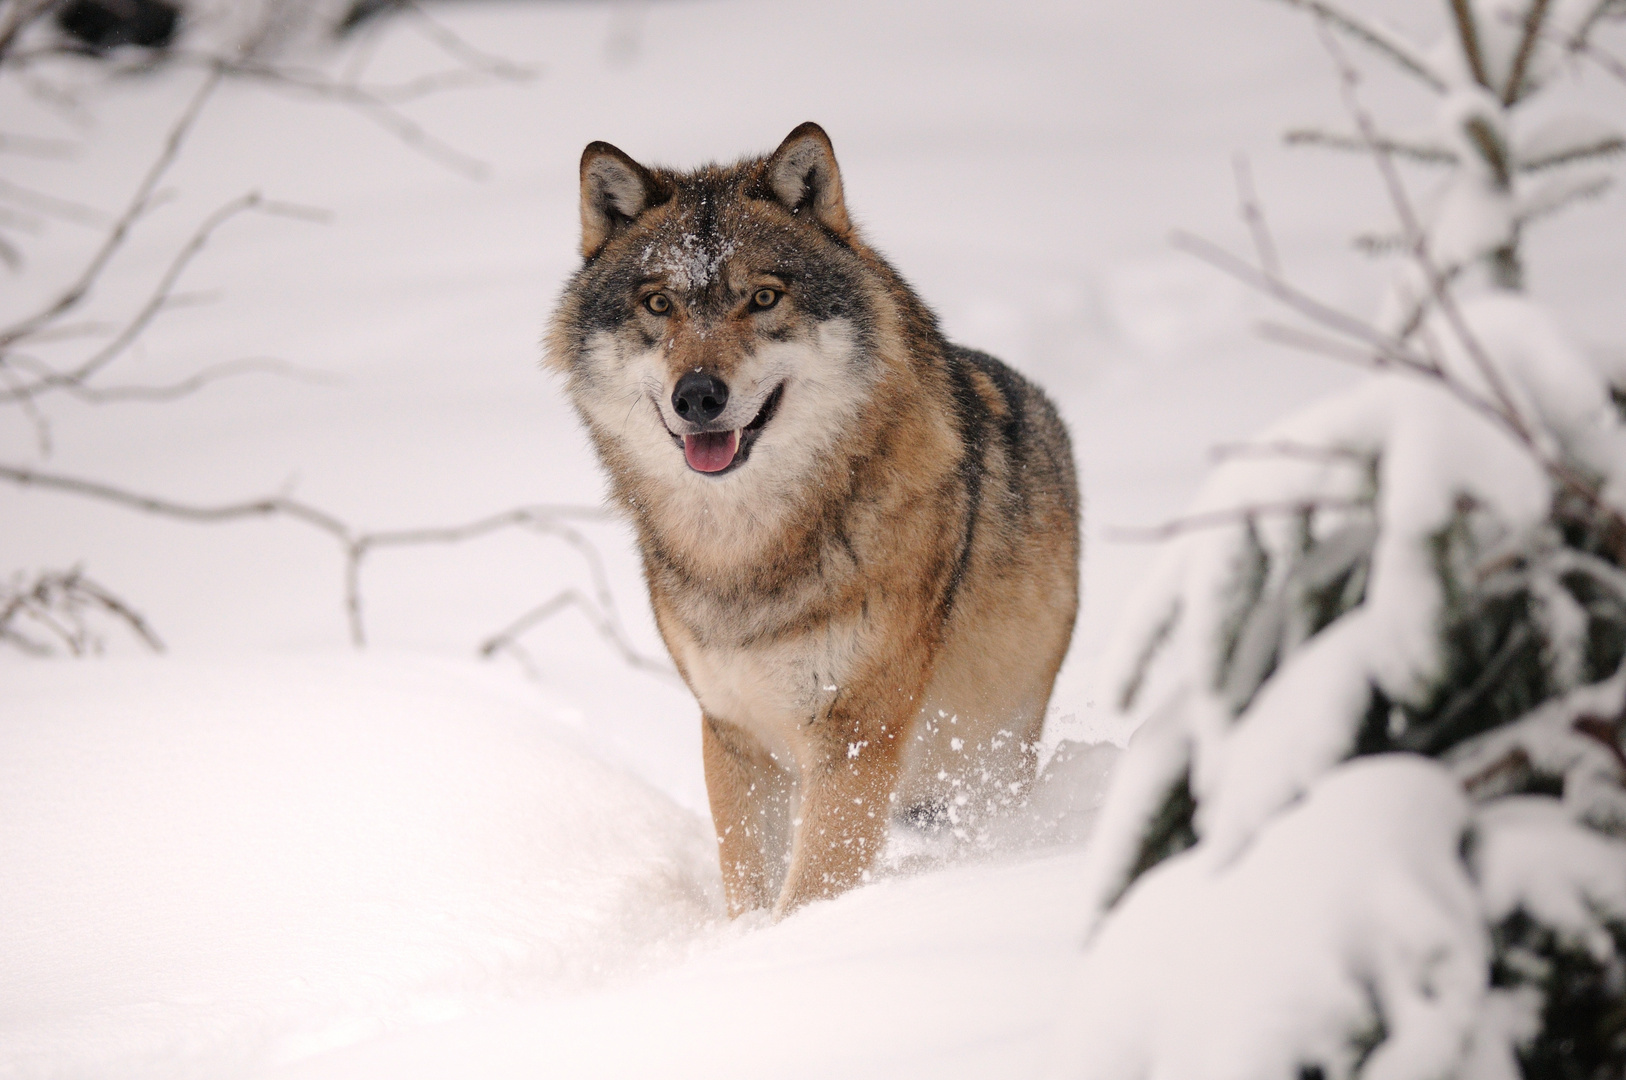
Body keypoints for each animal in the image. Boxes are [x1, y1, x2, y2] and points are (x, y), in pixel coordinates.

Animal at [545, 123, 1080, 917]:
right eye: (659, 303)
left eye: (763, 297)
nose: (697, 395)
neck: (745, 550)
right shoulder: (733, 735)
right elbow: (749, 886)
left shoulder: (853, 740)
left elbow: (809, 892)